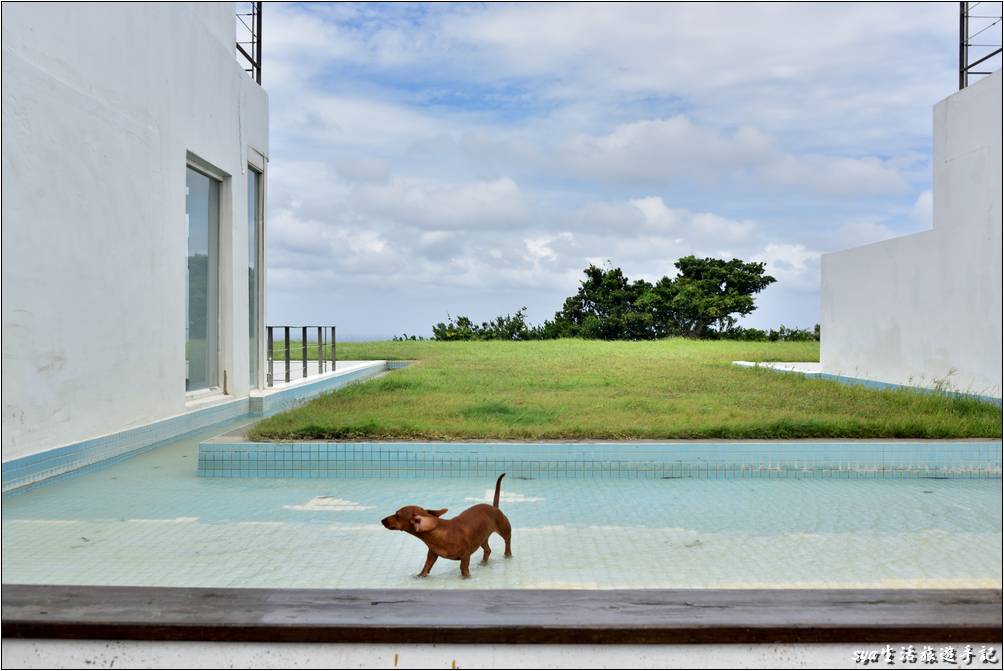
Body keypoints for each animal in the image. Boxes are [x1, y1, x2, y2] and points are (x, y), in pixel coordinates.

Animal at [379, 472, 514, 578]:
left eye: (397, 515)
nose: (382, 520)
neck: (440, 533)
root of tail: (494, 507)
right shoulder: (432, 554)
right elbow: (426, 567)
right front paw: (419, 576)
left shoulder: (465, 556)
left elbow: (464, 570)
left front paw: (467, 578)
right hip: (482, 538)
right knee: (487, 550)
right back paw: (483, 563)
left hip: (504, 529)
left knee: (507, 542)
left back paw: (508, 555)